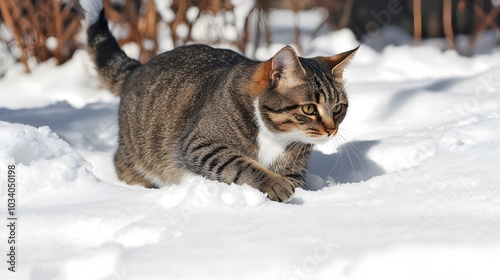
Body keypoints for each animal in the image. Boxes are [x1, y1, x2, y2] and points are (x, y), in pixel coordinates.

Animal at [86, 4, 358, 201]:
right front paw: (274, 183)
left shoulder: (296, 167)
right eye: (309, 108)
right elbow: (240, 164)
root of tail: (137, 68)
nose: (332, 130)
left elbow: (294, 180)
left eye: (338, 108)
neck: (275, 135)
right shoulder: (199, 143)